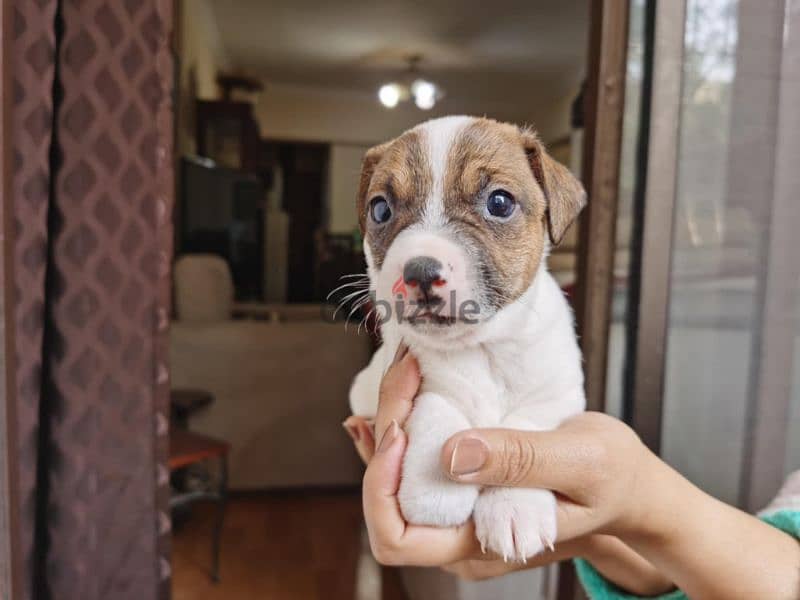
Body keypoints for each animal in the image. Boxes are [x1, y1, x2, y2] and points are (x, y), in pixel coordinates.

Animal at [346, 115, 584, 560]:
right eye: (381, 209)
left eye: (499, 203)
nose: (420, 270)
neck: (482, 345)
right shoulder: (411, 374)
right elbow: (440, 408)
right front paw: (435, 492)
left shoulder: (559, 394)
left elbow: (527, 423)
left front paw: (514, 508)